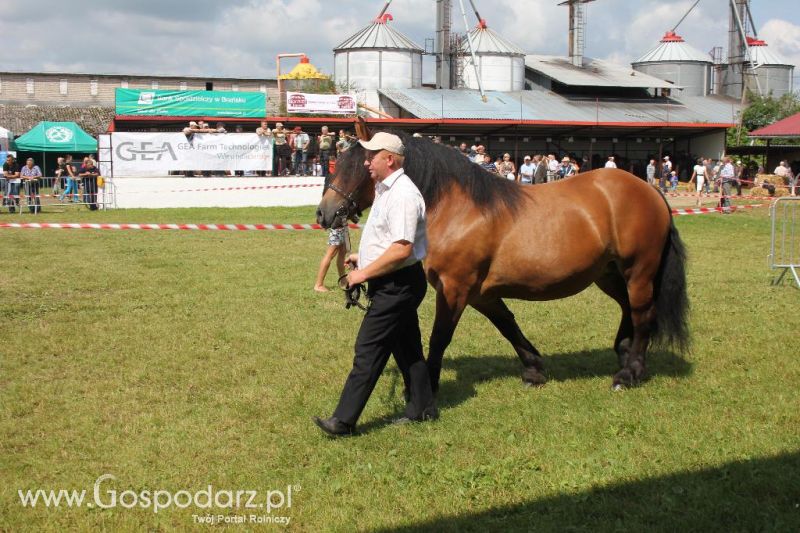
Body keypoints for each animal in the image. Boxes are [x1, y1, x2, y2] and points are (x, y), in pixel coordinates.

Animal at [316, 124, 692, 390]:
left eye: (359, 165)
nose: (324, 213)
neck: (457, 208)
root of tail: (649, 190)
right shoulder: (480, 293)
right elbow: (508, 325)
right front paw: (534, 369)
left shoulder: (455, 288)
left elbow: (440, 336)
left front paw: (431, 384)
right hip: (610, 274)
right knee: (628, 309)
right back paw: (623, 353)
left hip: (638, 271)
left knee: (643, 315)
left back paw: (630, 373)